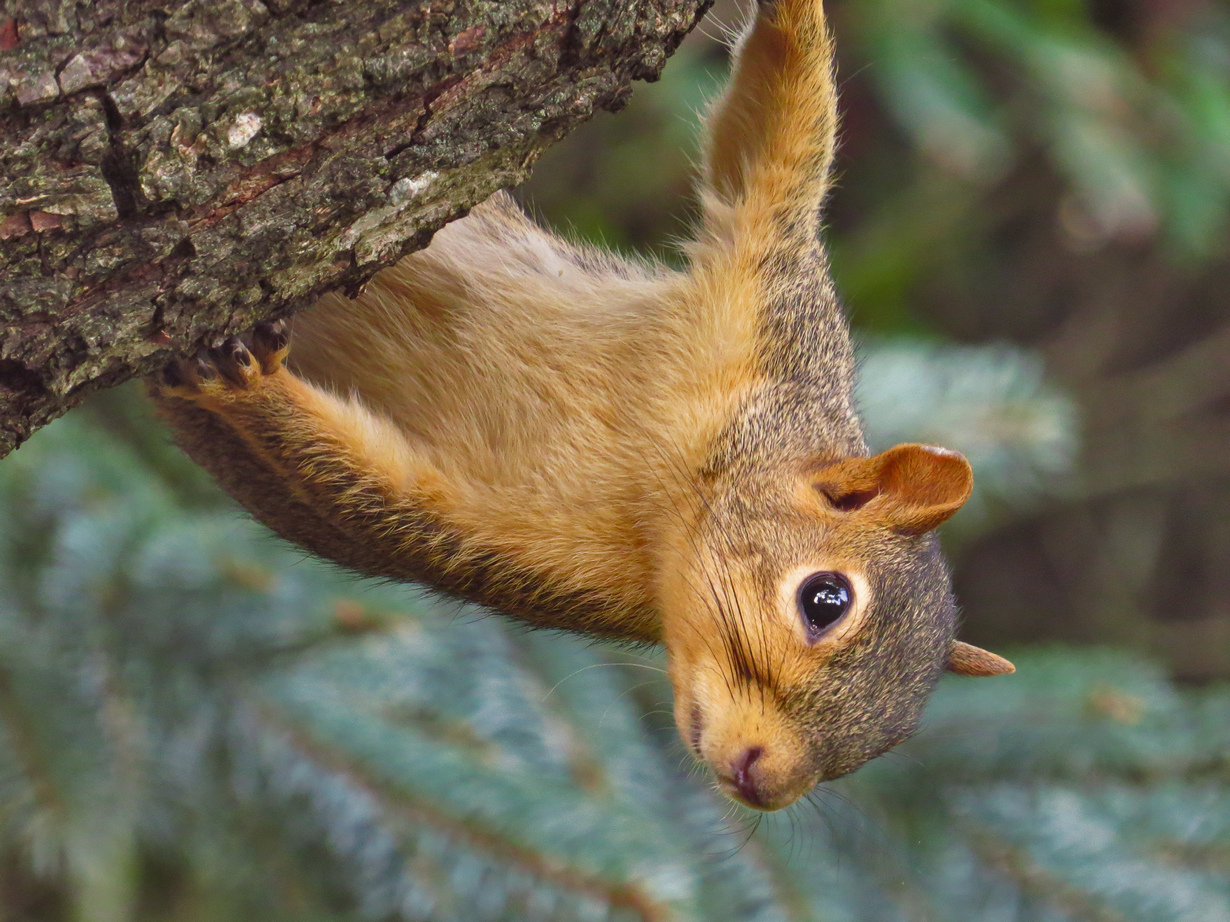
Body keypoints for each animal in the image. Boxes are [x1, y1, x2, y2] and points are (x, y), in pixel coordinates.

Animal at [148, 0, 1013, 816]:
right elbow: (783, 138)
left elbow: (379, 495)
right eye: (826, 600)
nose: (763, 783)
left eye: (892, 739)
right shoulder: (770, 312)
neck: (665, 490)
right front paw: (245, 385)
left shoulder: (526, 560)